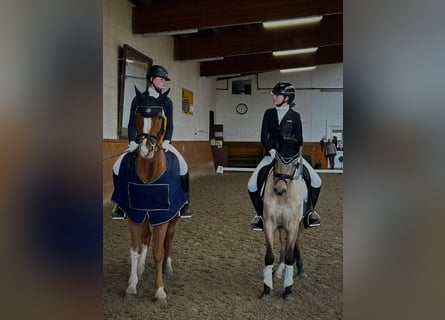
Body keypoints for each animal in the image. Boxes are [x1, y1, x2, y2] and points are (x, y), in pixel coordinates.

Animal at [112, 94, 187, 302]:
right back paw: (140, 269)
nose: (146, 149)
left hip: (173, 218)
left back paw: (168, 268)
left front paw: (159, 290)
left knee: (168, 240)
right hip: (145, 216)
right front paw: (132, 284)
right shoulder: (135, 214)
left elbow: (159, 252)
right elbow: (135, 249)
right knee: (146, 237)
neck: (149, 171)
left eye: (160, 117)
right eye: (137, 115)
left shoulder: (162, 216)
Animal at [260, 145, 306, 300]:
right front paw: (266, 290)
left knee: (297, 243)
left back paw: (301, 270)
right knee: (283, 243)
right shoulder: (269, 224)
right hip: (280, 227)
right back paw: (280, 269)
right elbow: (269, 256)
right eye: (276, 160)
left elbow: (290, 256)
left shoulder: (293, 226)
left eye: (295, 164)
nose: (279, 190)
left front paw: (288, 290)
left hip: (299, 225)